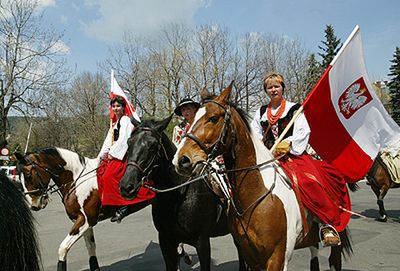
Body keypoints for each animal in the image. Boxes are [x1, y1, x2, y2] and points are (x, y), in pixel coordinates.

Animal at [14, 148, 151, 271]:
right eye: (19, 177)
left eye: (28, 175)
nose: (34, 205)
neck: (76, 179)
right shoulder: (84, 222)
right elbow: (90, 246)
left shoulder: (85, 220)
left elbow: (63, 248)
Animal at [117, 117, 245, 271]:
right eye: (129, 142)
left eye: (153, 145)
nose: (126, 186)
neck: (177, 198)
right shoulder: (166, 241)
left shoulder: (202, 241)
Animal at [173, 83, 352, 271]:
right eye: (191, 119)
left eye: (214, 118)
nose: (181, 159)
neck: (255, 195)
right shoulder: (251, 256)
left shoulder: (277, 257)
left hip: (337, 240)